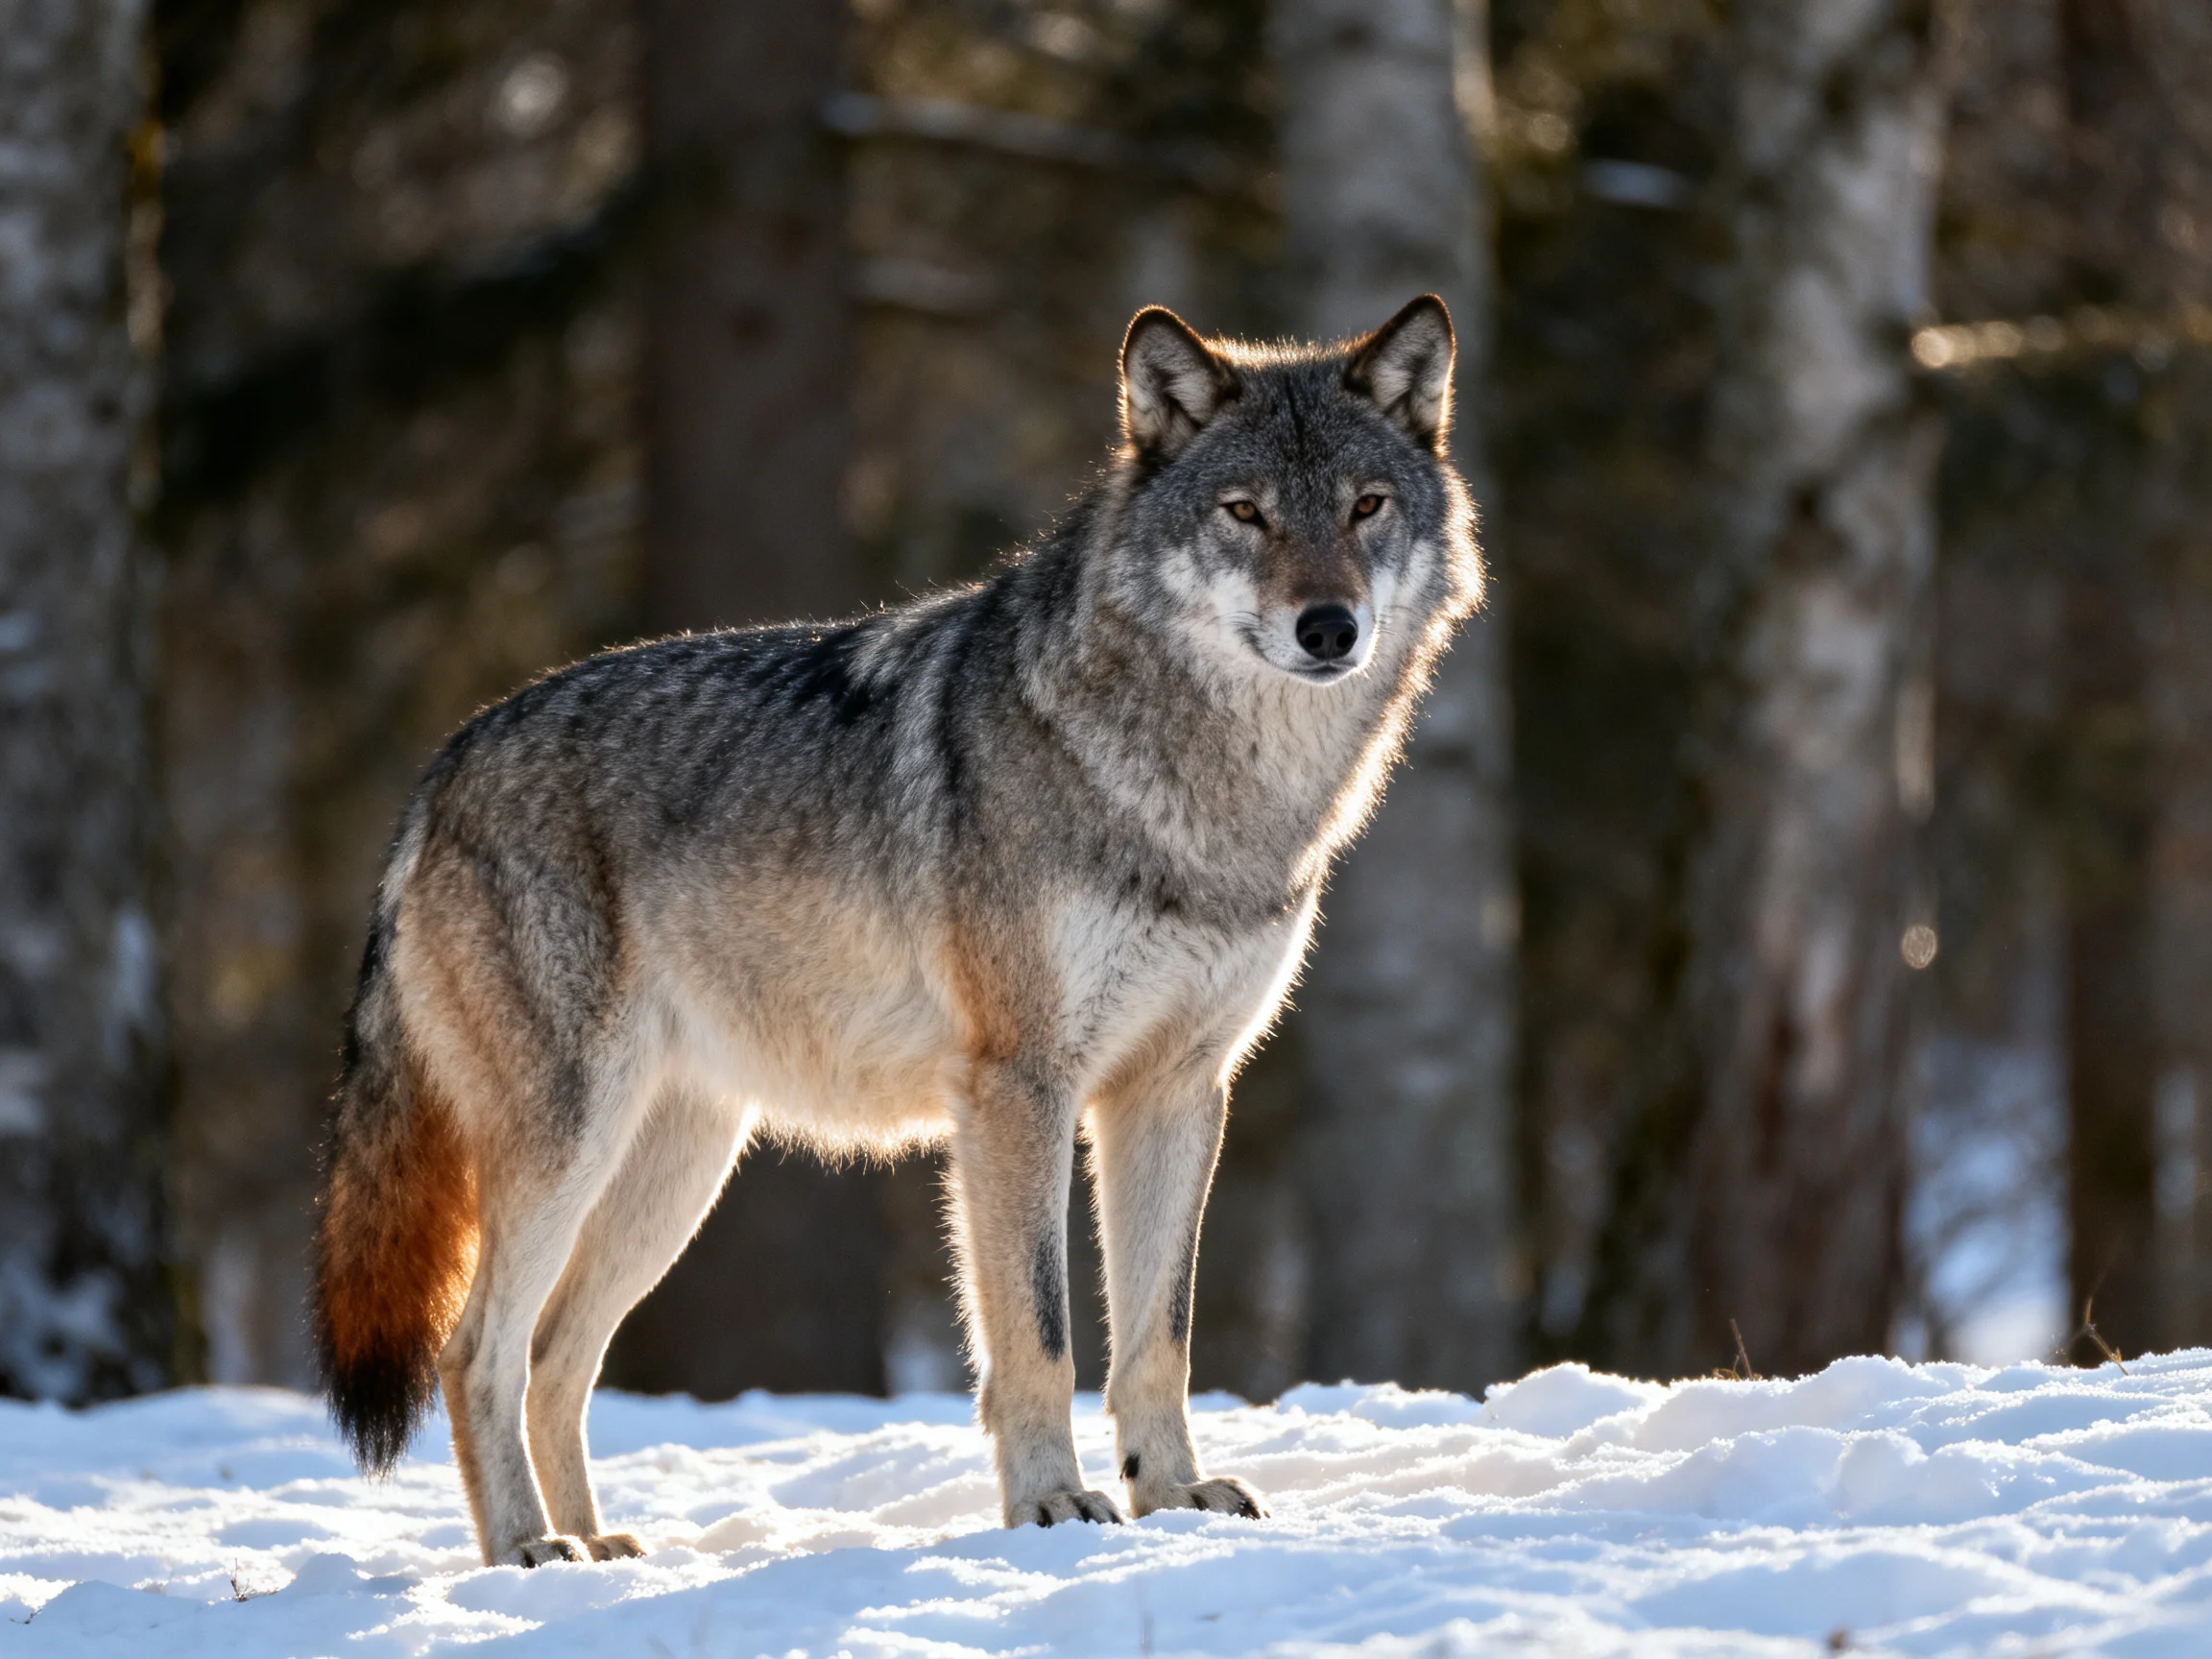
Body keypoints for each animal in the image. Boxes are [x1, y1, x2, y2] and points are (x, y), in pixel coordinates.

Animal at [311, 294, 1483, 1567]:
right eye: (1246, 512)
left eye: (1365, 507)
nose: (1329, 627)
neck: (1206, 802)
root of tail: (444, 765)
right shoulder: (1018, 1089)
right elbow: (1038, 1334)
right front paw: (1053, 1508)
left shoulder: (1176, 1089)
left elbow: (1157, 1339)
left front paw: (1169, 1496)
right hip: (571, 1146)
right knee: (475, 1352)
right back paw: (528, 1554)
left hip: (677, 1168)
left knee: (553, 1357)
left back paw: (606, 1550)